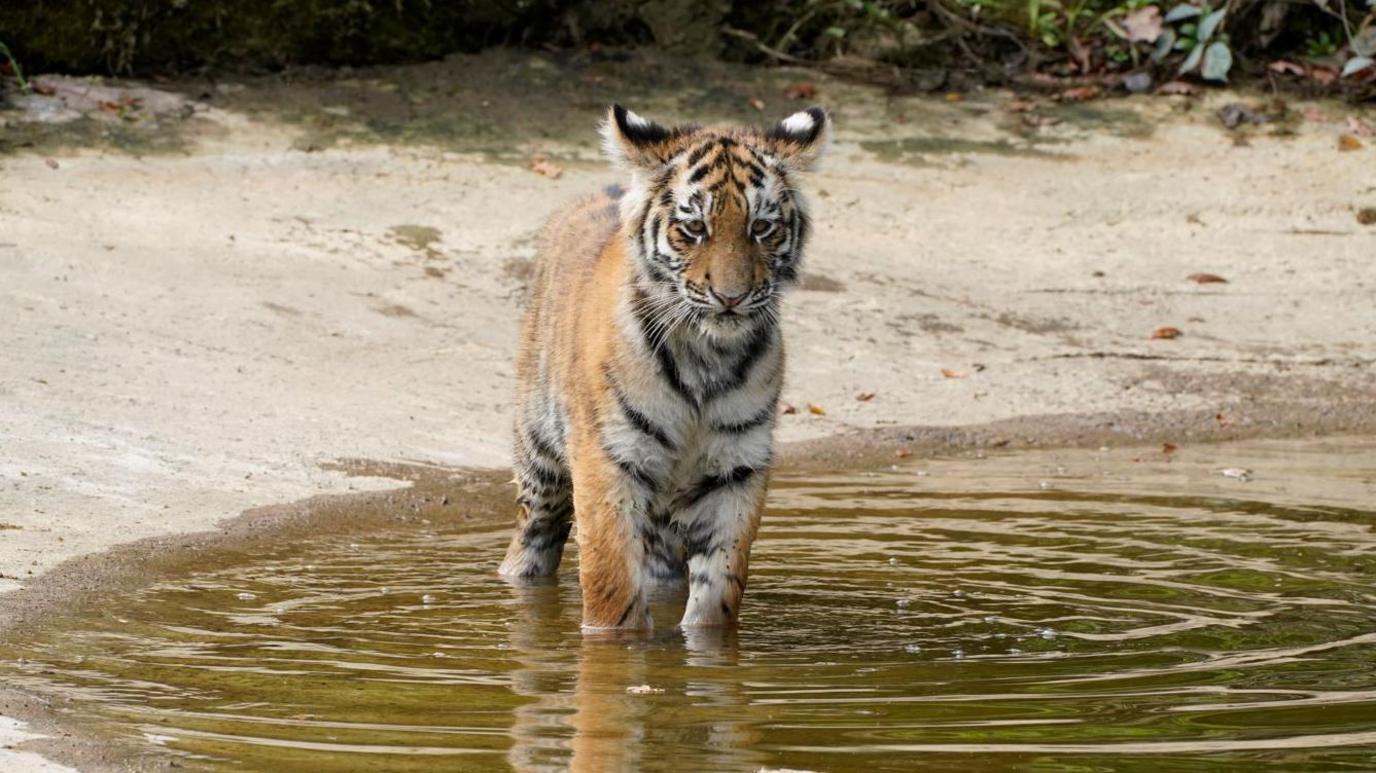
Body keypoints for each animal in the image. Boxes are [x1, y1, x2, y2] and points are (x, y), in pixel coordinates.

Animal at [503, 102, 831, 629]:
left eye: (762, 227)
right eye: (694, 229)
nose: (731, 297)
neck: (706, 356)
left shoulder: (735, 468)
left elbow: (719, 590)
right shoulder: (609, 459)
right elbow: (613, 582)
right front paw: (611, 641)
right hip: (541, 461)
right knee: (533, 540)